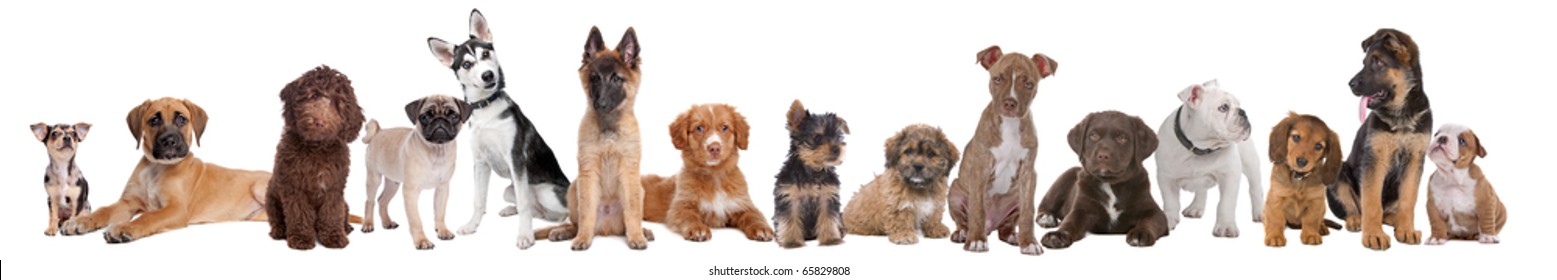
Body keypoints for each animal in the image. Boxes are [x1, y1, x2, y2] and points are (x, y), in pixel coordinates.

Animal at [267, 64, 367, 250]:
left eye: (336, 103)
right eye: (313, 95)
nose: (319, 122)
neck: (316, 148)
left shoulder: (334, 187)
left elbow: (332, 212)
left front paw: (334, 236)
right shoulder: (293, 187)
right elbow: (298, 212)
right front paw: (301, 238)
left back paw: (346, 227)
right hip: (271, 199)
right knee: (276, 218)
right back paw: (279, 231)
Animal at [1158, 79, 1264, 238]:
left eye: (1239, 104)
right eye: (1223, 108)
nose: (1243, 111)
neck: (1200, 148)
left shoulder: (1230, 176)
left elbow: (1226, 203)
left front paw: (1226, 226)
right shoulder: (1166, 178)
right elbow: (1170, 201)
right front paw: (1168, 219)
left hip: (1251, 163)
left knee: (1255, 188)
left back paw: (1260, 212)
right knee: (1201, 190)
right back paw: (1196, 208)